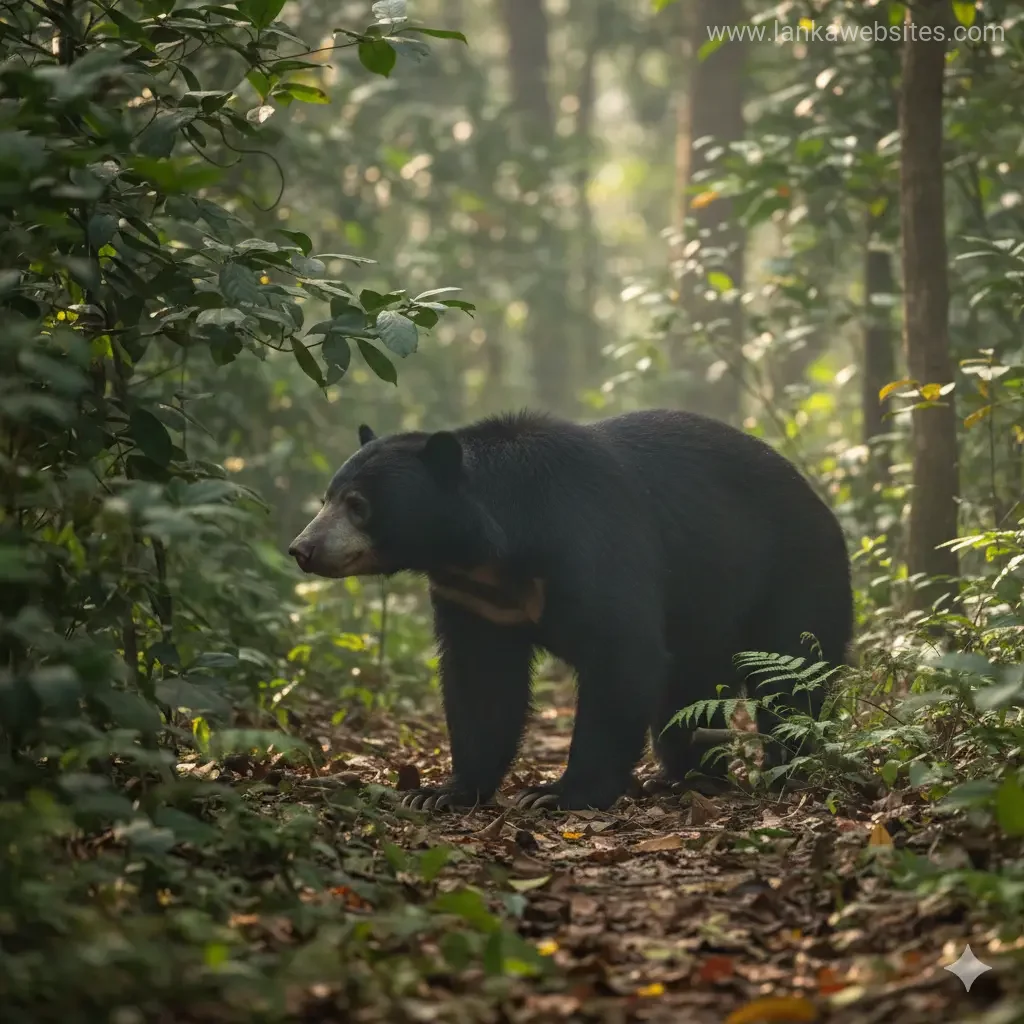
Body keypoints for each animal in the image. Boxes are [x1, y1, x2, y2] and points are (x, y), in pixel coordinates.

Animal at [288, 409, 853, 811]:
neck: (488, 553)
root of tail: (823, 507)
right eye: (326, 498)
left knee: (789, 680)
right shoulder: (474, 598)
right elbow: (481, 684)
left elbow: (622, 655)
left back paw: (780, 770)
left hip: (792, 576)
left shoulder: (589, 542)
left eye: (358, 505)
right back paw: (680, 777)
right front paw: (440, 791)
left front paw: (556, 794)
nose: (302, 549)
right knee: (687, 692)